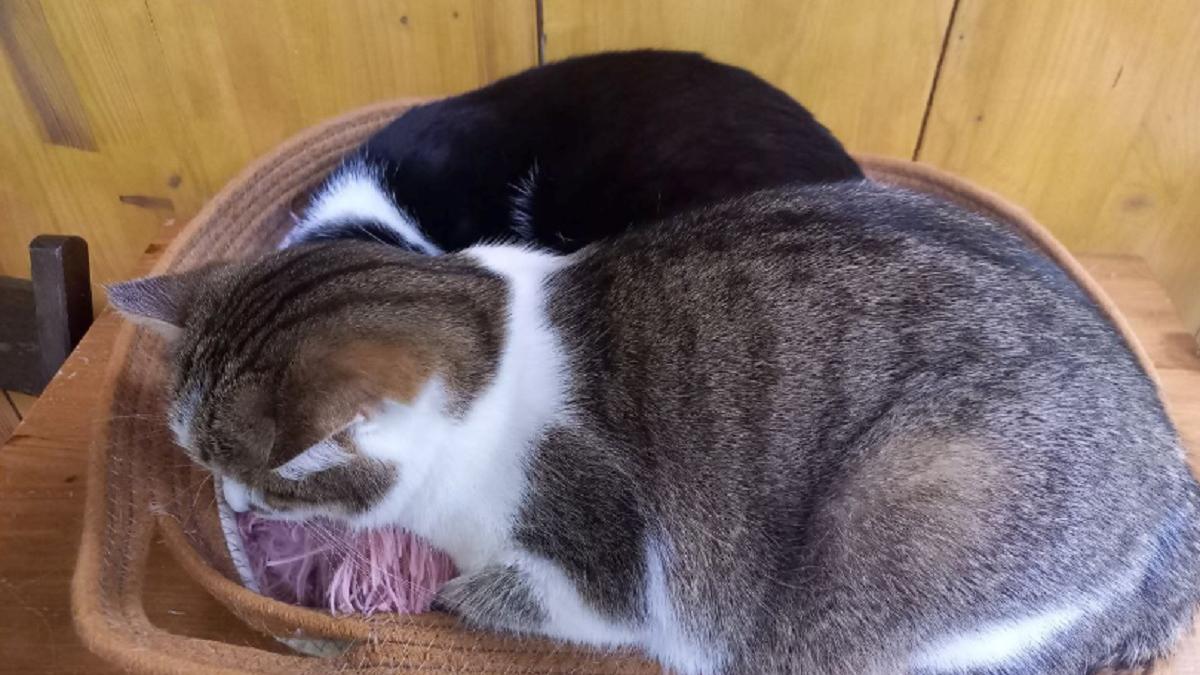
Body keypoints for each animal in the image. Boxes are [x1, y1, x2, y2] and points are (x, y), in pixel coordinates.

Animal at [109, 180, 1200, 674]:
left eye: (266, 476)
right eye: (194, 460)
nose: (238, 503)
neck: (489, 334)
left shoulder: (609, 566)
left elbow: (522, 595)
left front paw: (453, 596)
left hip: (914, 521)